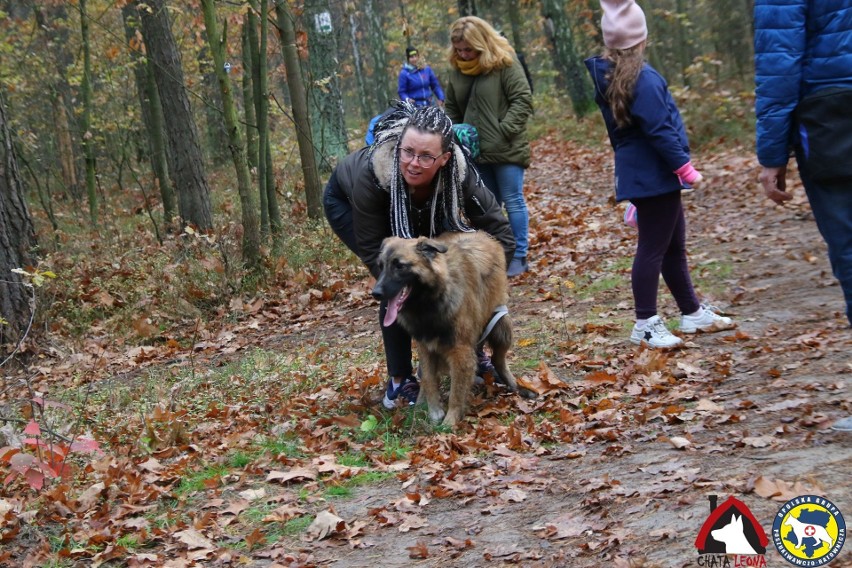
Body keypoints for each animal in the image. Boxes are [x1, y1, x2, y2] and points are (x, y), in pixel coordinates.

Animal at [372, 231, 520, 426]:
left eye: (400, 266)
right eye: (380, 266)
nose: (375, 293)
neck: (428, 305)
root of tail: (482, 234)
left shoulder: (460, 350)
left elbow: (456, 393)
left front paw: (450, 421)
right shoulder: (425, 346)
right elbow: (428, 378)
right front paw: (433, 409)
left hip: (501, 324)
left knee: (498, 359)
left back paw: (514, 384)